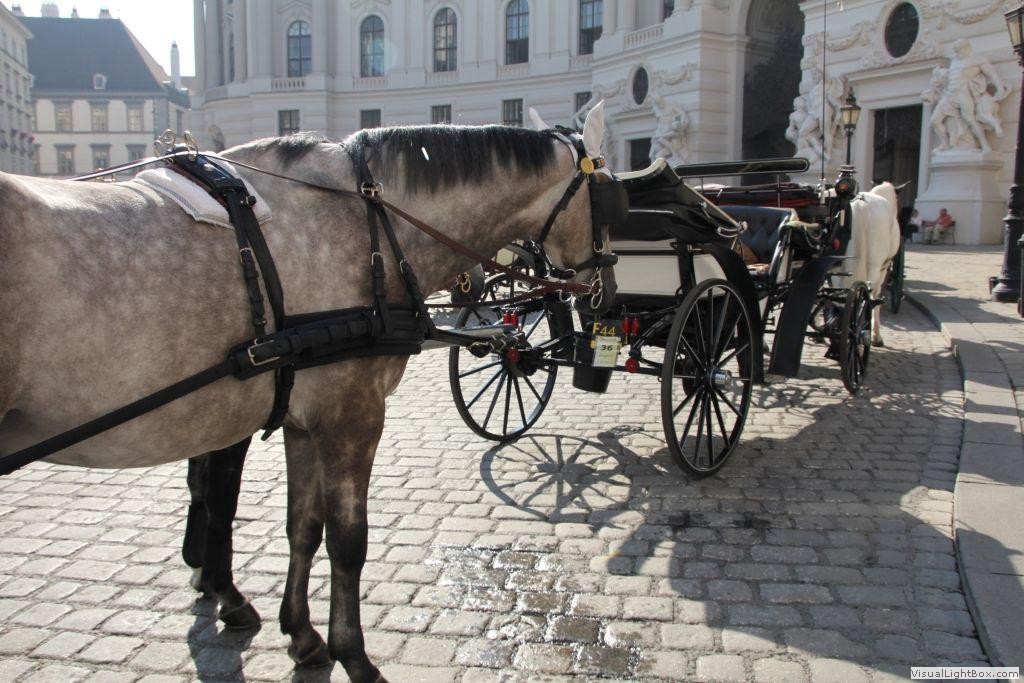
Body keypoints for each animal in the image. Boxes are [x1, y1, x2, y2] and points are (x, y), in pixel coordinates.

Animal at [0, 105, 618, 681]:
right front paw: (354, 655)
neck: (367, 221)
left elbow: (302, 527)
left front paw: (299, 633)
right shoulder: (351, 418)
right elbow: (346, 541)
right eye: (612, 192)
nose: (605, 291)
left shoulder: (301, 422)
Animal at [840, 181, 901, 347]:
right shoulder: (884, 269)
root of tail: (861, 204)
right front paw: (876, 336)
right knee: (869, 294)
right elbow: (877, 298)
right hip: (875, 266)